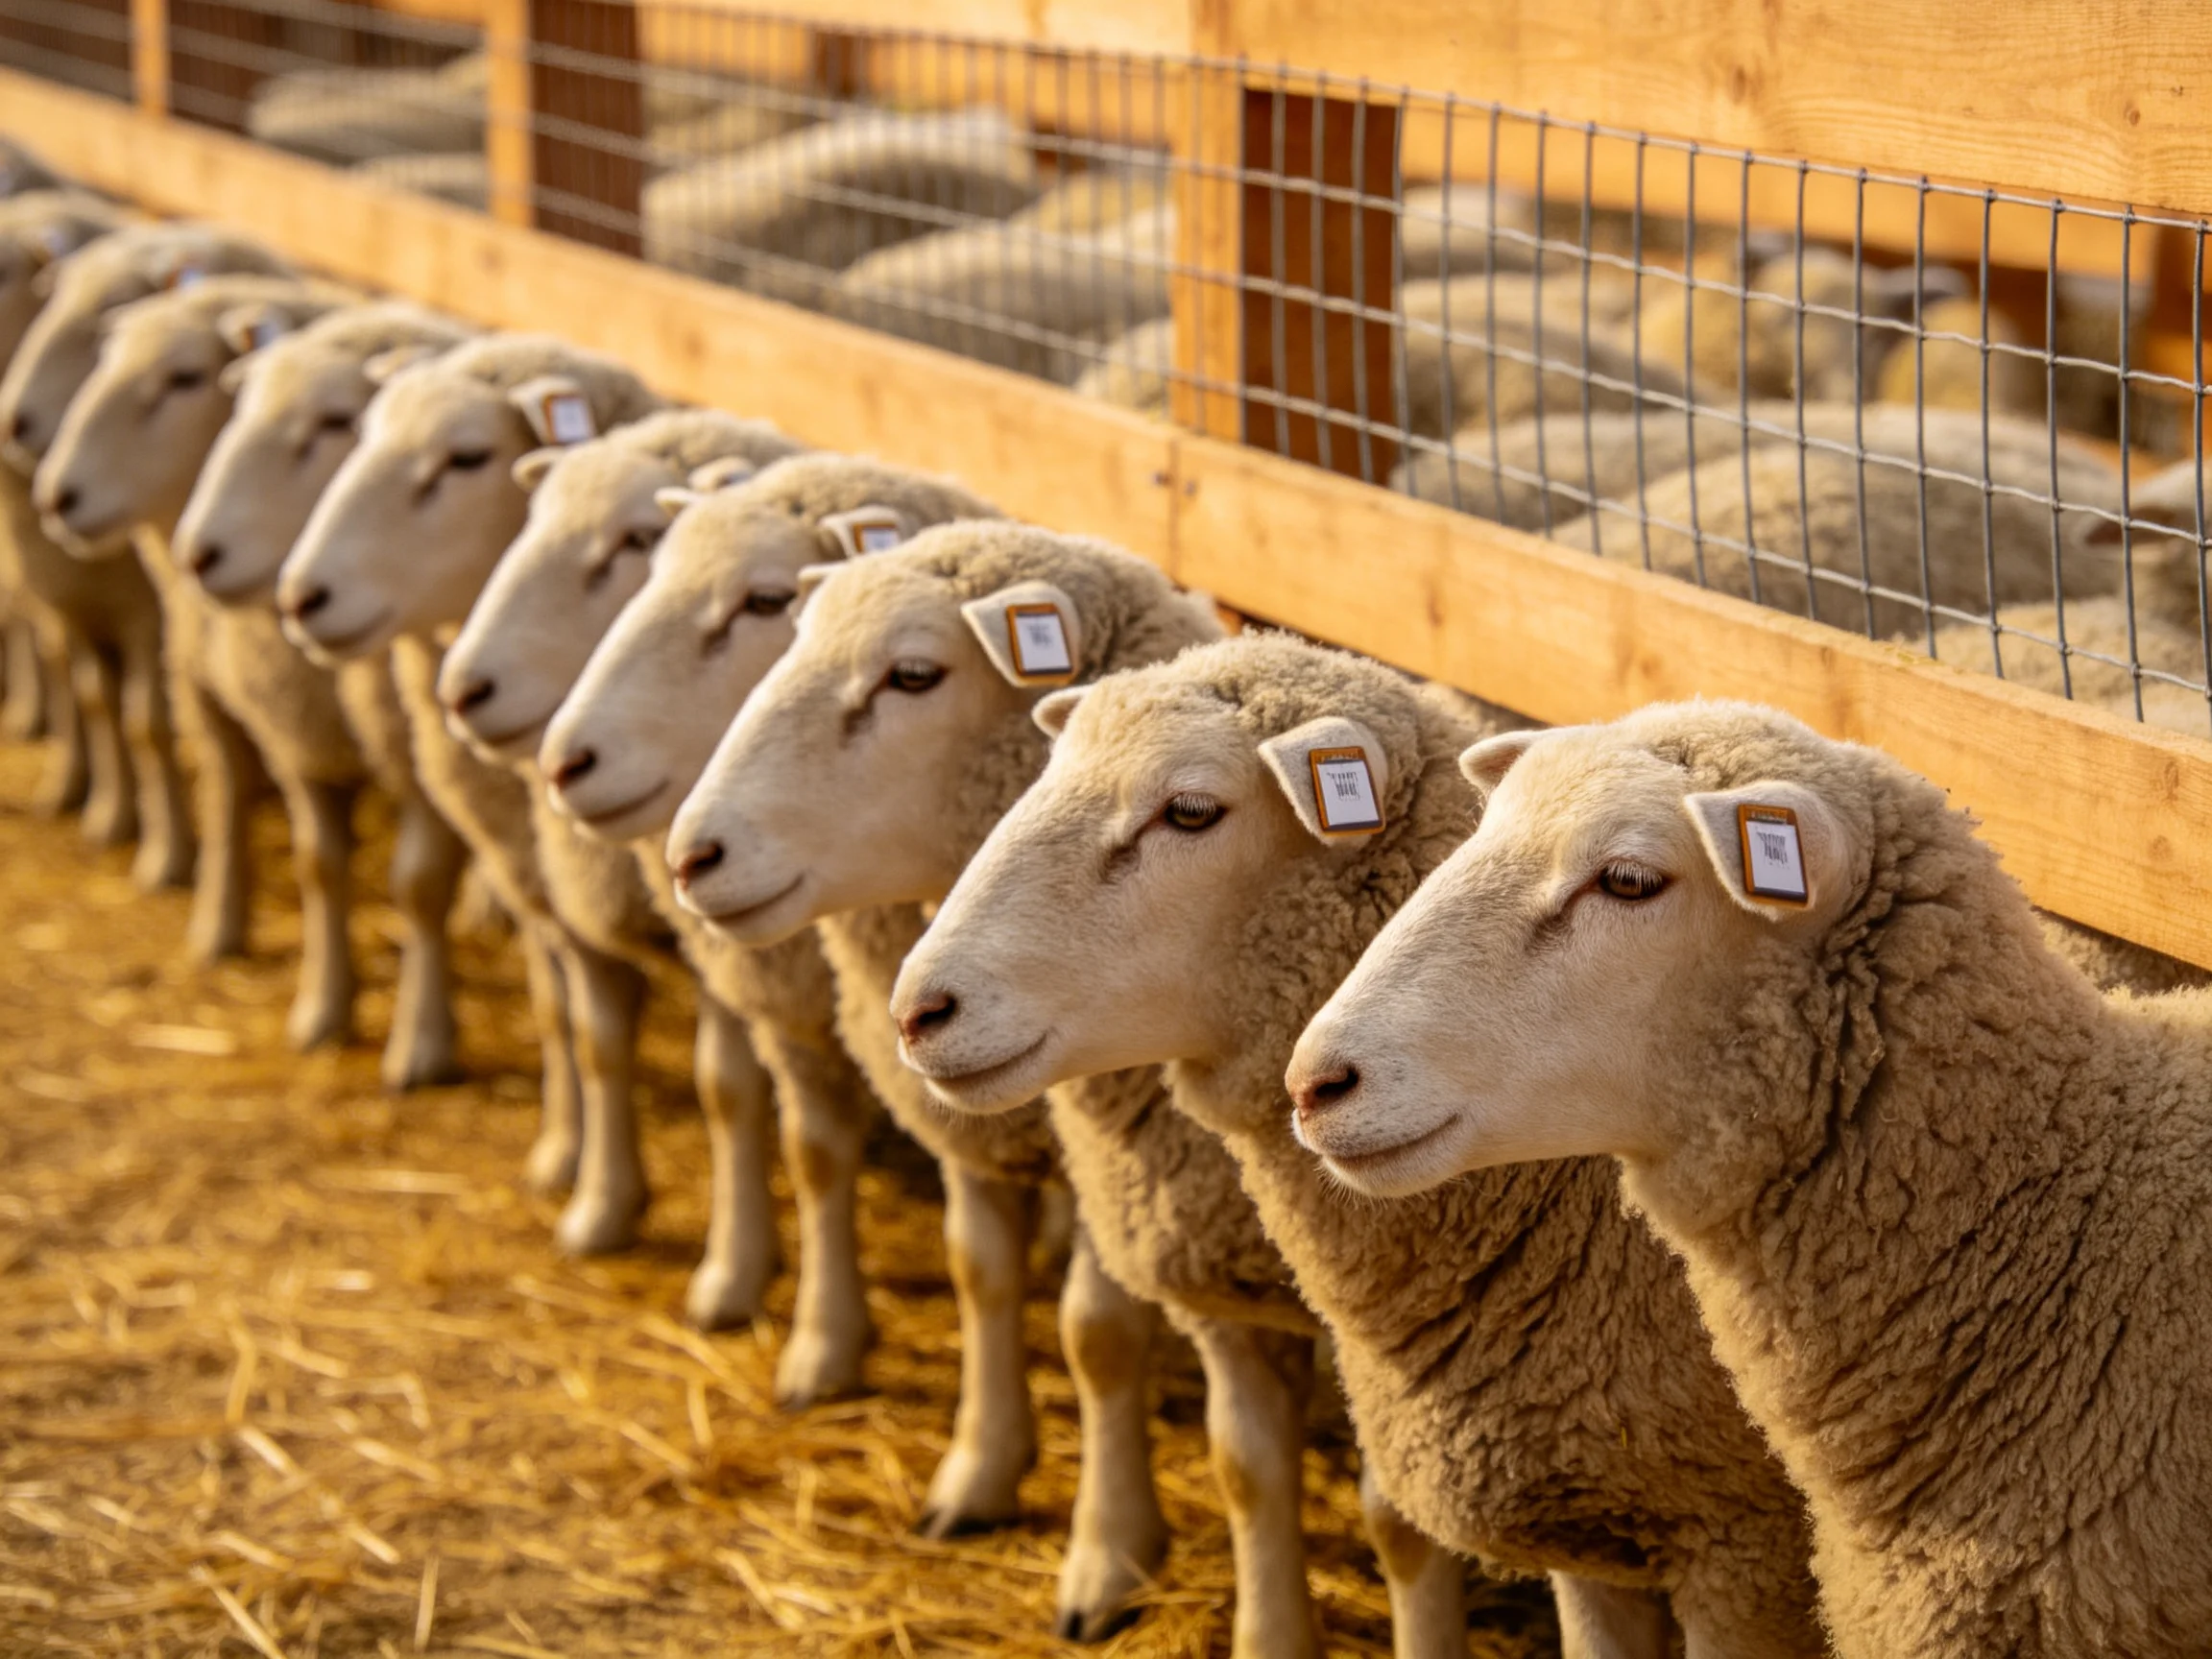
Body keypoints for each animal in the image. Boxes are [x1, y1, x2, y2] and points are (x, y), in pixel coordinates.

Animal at [0, 222, 291, 890]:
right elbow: (91, 696)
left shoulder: (147, 621)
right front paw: (103, 809)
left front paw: (168, 854)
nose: (14, 423)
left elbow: (146, 725)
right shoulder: (74, 601)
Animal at [173, 298, 481, 1087]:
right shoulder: (302, 737)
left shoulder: (413, 760)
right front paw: (323, 1007)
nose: (198, 554)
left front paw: (422, 1042)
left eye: (335, 419)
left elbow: (417, 887)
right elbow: (317, 863)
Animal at [277, 334, 663, 1216]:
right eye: (361, 432)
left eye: (466, 456)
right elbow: (563, 1009)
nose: (302, 596)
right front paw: (566, 1156)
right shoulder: (535, 872)